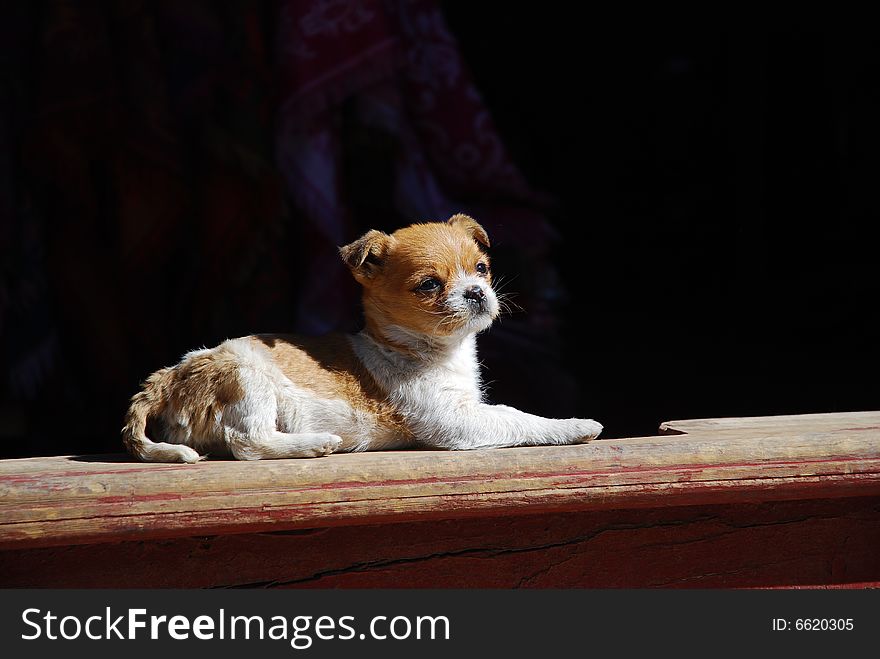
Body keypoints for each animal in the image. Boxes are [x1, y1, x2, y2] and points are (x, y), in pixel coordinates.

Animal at [124, 214, 600, 462]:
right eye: (430, 285)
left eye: (481, 268)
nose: (476, 292)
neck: (421, 349)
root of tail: (170, 376)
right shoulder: (455, 420)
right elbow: (519, 417)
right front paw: (575, 425)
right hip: (248, 382)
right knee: (248, 443)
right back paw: (315, 443)